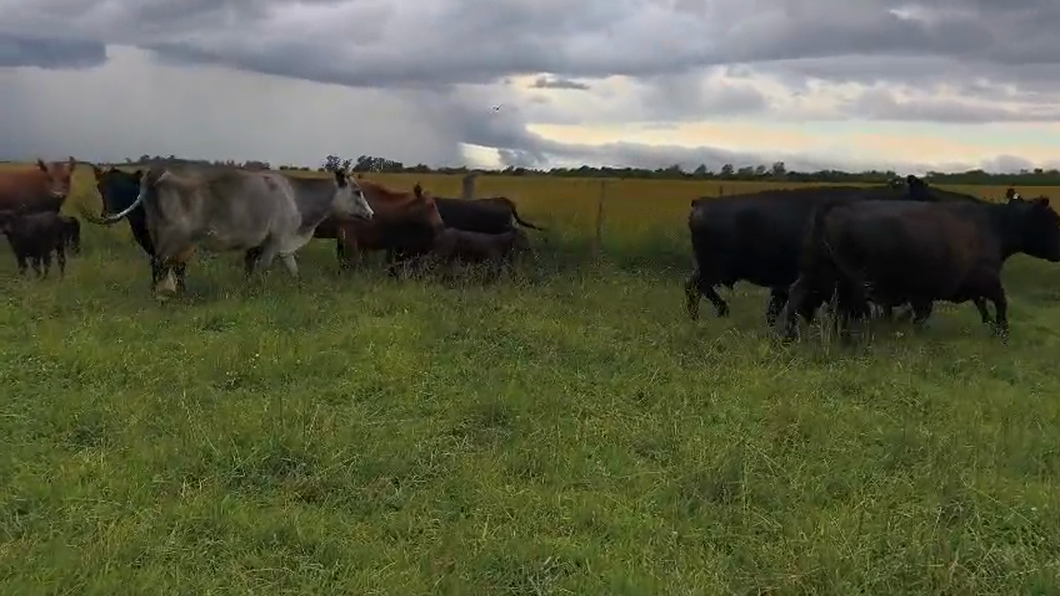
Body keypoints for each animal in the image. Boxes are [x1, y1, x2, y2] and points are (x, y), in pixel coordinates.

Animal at [94, 164, 374, 296]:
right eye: (357, 192)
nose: (371, 214)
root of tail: (156, 173)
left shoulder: (270, 245)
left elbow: (288, 272)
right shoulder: (275, 241)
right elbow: (261, 270)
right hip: (172, 239)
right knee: (160, 266)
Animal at [684, 175, 960, 326]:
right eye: (927, 192)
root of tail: (702, 203)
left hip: (707, 267)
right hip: (712, 268)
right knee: (694, 288)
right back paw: (711, 314)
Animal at [777, 194, 1060, 341]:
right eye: (1052, 219)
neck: (994, 226)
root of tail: (834, 204)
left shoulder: (929, 291)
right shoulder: (987, 279)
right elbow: (1001, 304)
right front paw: (1003, 332)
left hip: (814, 272)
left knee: (796, 296)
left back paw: (790, 334)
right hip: (845, 279)